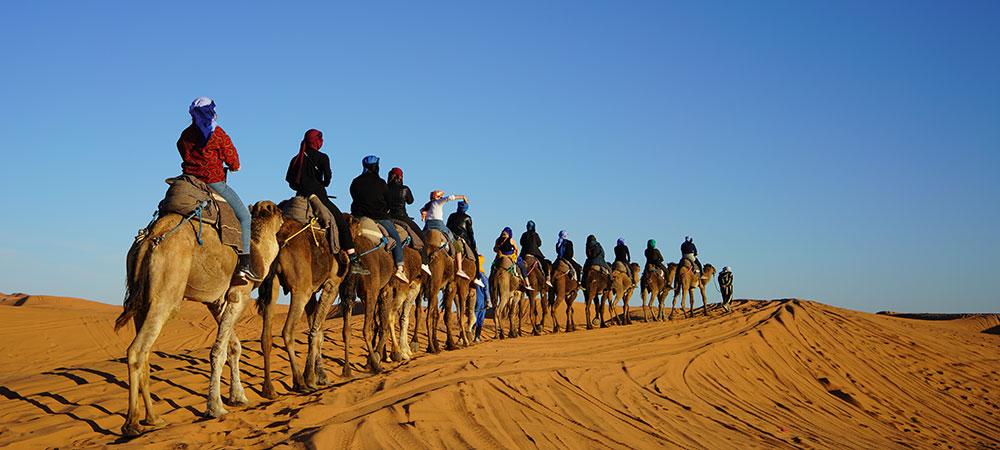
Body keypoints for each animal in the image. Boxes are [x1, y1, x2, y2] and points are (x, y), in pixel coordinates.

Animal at [115, 200, 286, 436]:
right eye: (277, 210)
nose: (284, 213)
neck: (258, 247)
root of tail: (149, 239)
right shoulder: (239, 295)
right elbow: (219, 351)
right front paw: (216, 408)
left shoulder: (216, 301)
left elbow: (234, 346)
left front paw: (238, 397)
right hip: (167, 294)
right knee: (136, 350)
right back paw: (131, 423)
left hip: (142, 302)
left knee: (146, 353)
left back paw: (154, 419)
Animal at [258, 216, 348, 400]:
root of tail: (281, 241)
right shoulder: (332, 284)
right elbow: (316, 330)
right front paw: (312, 378)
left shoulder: (313, 289)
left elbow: (317, 329)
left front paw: (320, 375)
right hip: (300, 290)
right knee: (287, 331)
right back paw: (299, 383)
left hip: (272, 283)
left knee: (266, 336)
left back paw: (269, 389)